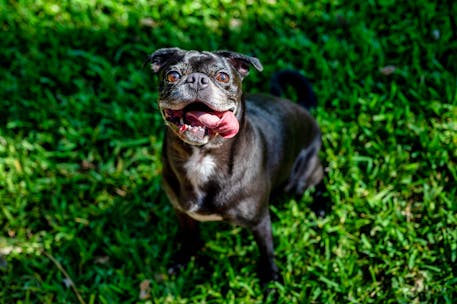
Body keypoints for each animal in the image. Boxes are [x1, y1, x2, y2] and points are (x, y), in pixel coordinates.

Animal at [147, 47, 324, 282]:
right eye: (172, 75)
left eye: (223, 77)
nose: (197, 79)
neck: (202, 157)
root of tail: (301, 108)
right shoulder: (183, 213)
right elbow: (189, 238)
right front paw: (183, 260)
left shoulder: (259, 222)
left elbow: (267, 251)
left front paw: (271, 280)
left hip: (298, 180)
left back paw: (322, 206)